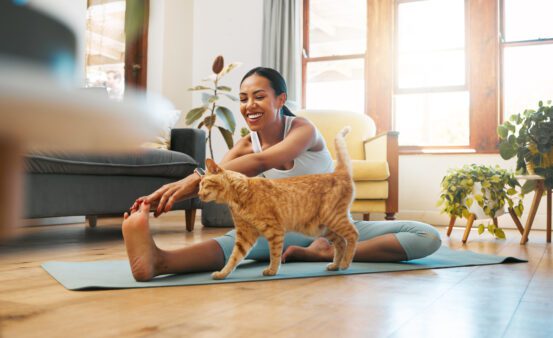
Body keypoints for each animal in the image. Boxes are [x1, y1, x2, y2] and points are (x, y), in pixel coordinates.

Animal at [198, 127, 358, 280]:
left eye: (203, 184)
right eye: (199, 186)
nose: (198, 195)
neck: (239, 195)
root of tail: (338, 173)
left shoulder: (274, 230)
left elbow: (274, 254)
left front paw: (272, 270)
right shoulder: (245, 235)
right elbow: (234, 258)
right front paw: (222, 274)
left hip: (333, 217)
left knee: (353, 234)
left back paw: (345, 263)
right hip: (323, 228)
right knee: (341, 242)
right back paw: (335, 265)